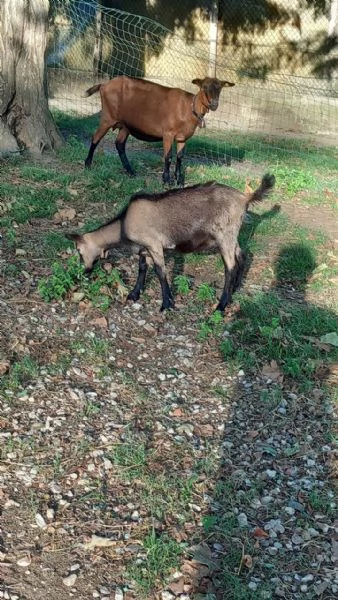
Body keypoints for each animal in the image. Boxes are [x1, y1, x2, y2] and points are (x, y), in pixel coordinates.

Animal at [67, 173, 276, 312]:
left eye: (79, 251)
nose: (84, 271)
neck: (123, 225)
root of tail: (244, 197)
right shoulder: (144, 249)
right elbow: (142, 269)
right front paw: (134, 294)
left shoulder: (154, 245)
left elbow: (161, 273)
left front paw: (166, 304)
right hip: (232, 236)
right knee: (242, 255)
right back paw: (237, 287)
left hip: (225, 234)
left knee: (230, 267)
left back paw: (221, 304)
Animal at [84, 74, 235, 184]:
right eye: (204, 87)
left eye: (220, 88)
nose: (214, 104)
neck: (189, 107)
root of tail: (103, 85)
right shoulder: (168, 133)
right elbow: (168, 156)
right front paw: (166, 180)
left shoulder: (182, 138)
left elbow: (180, 157)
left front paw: (178, 181)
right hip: (107, 117)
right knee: (95, 138)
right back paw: (88, 165)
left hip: (126, 125)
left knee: (119, 144)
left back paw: (131, 171)